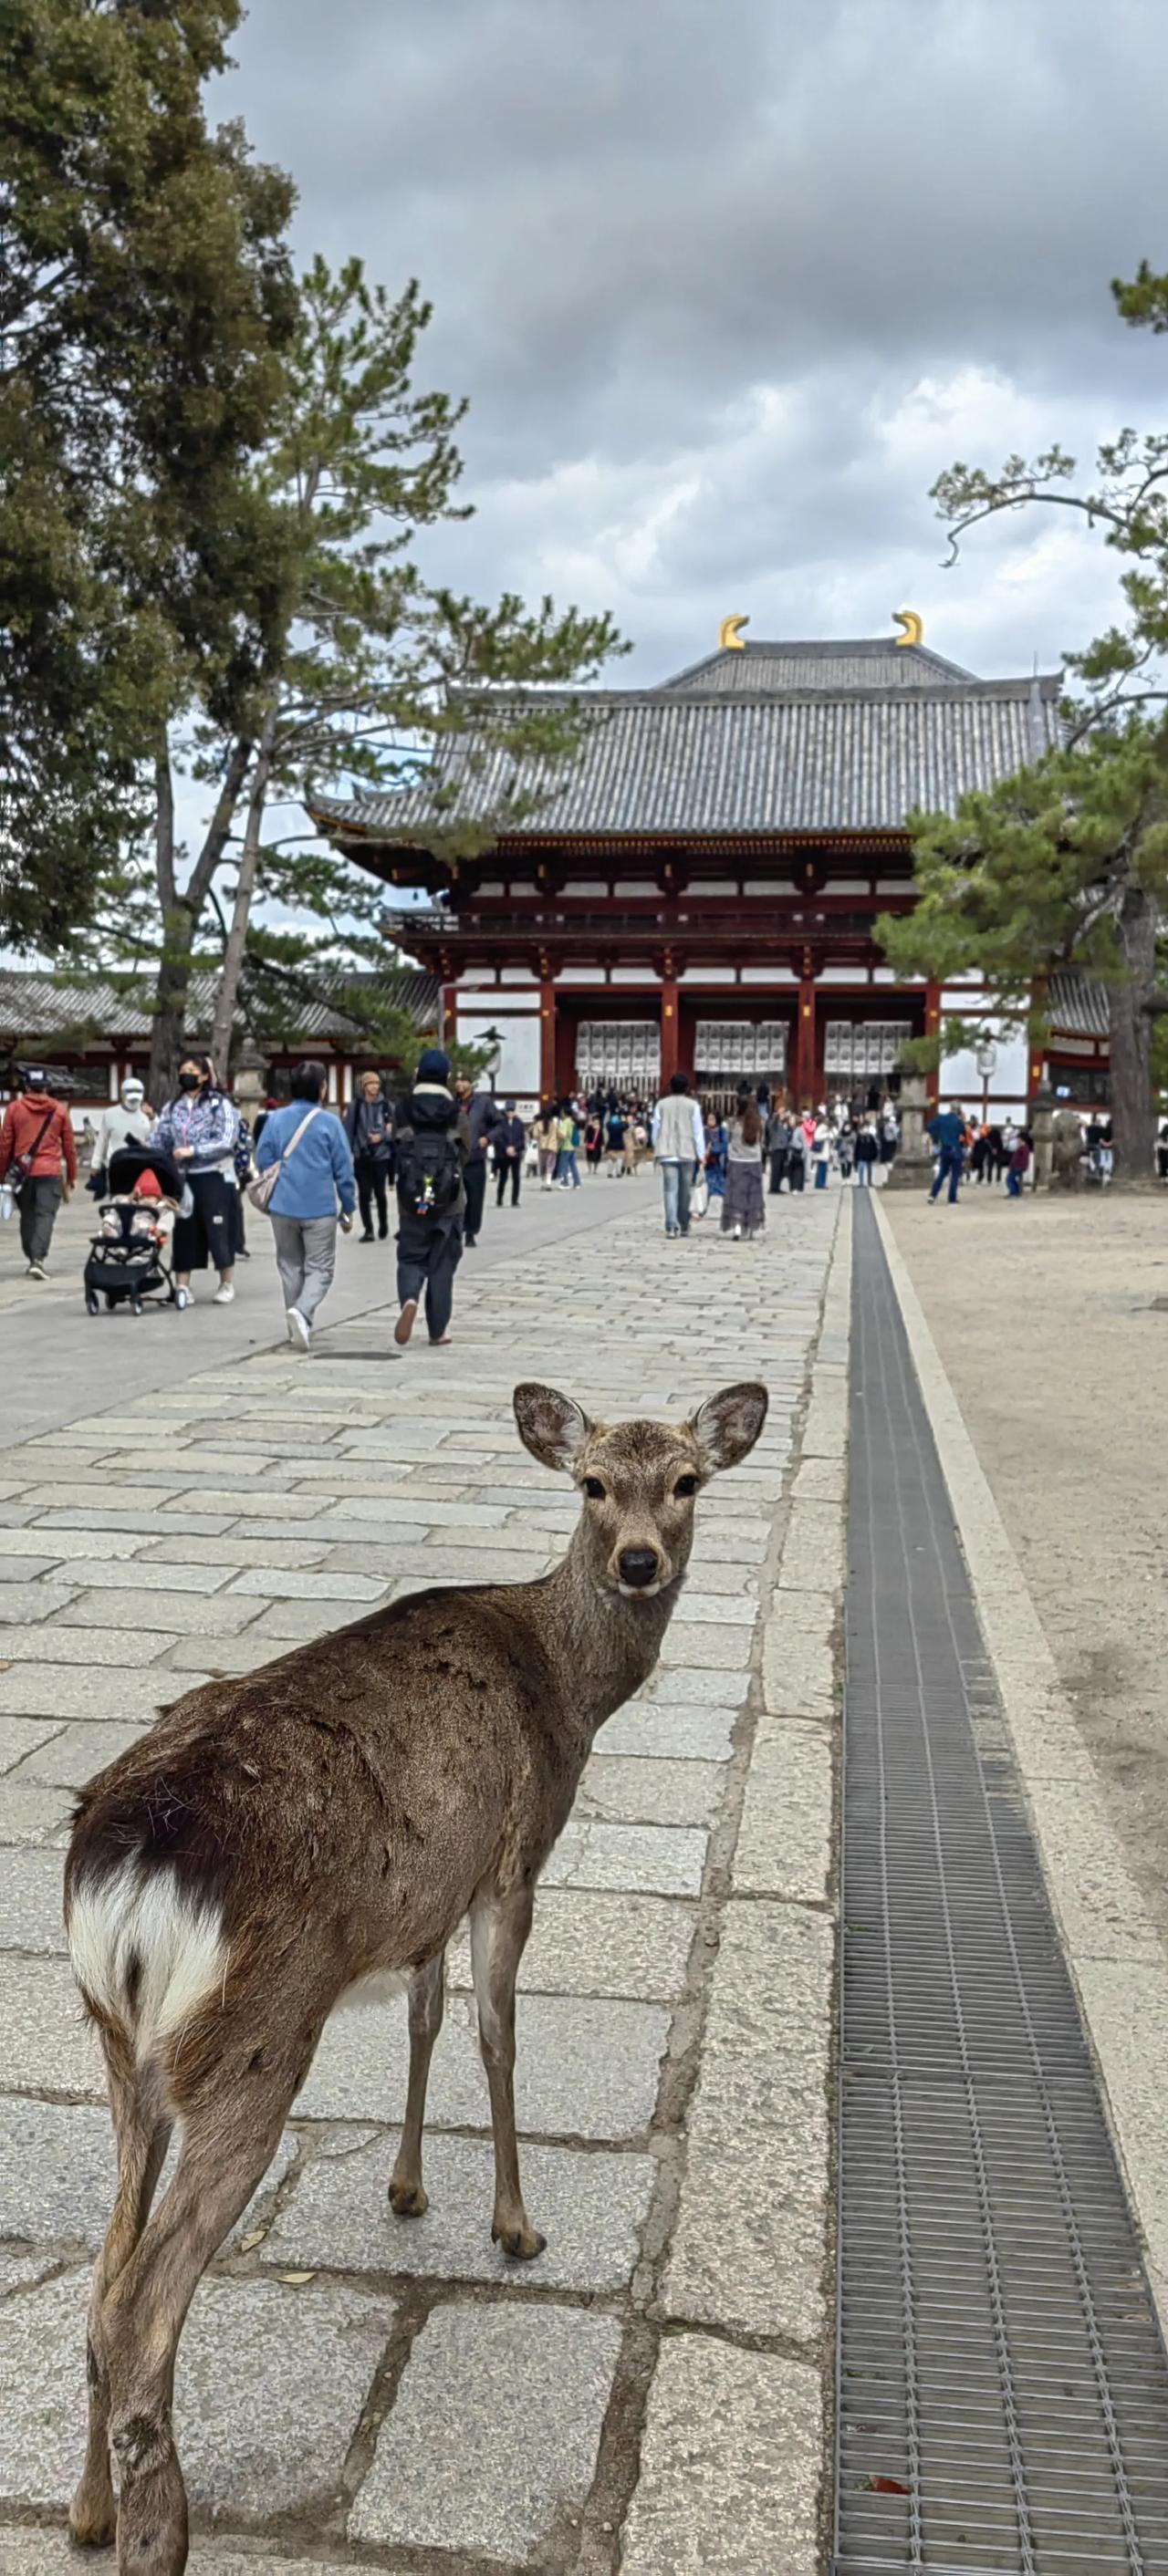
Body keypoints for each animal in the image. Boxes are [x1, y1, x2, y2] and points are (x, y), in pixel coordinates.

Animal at [64, 1376, 767, 2576]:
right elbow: (497, 2031)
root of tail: (129, 1866)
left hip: (122, 2049)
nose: (637, 1561)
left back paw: (88, 2512)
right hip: (253, 2039)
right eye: (591, 1483)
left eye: (685, 1480)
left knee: (103, 2272)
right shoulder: (514, 1855)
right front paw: (515, 2226)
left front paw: (406, 2188)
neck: (570, 1688)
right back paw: (162, 2533)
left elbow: (427, 2019)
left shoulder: (430, 1894)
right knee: (139, 2304)